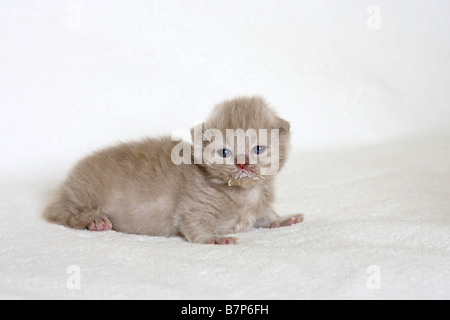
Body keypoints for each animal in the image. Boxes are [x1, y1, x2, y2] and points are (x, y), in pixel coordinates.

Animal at [43, 96, 302, 244]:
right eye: (224, 152)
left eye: (258, 149)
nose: (242, 163)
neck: (245, 194)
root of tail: (65, 185)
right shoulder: (193, 206)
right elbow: (195, 224)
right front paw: (216, 239)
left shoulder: (259, 208)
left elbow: (267, 216)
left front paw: (284, 219)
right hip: (81, 196)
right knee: (62, 213)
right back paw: (95, 221)